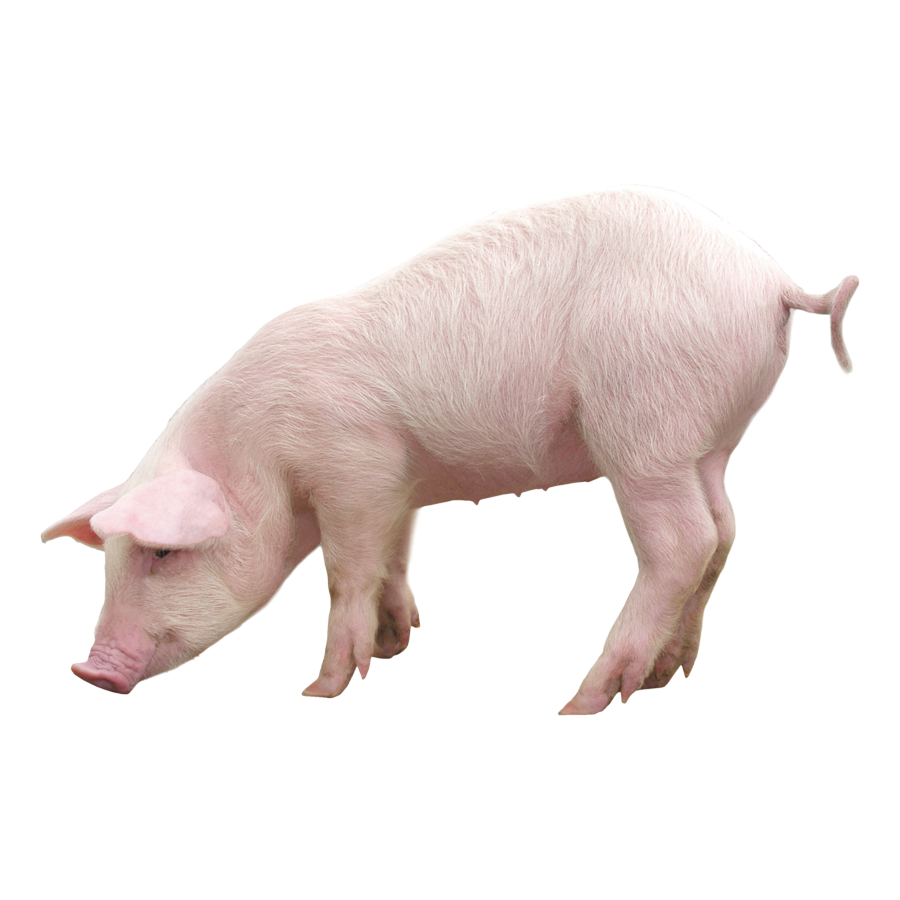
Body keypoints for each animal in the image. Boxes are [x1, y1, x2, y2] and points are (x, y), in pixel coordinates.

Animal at [41, 186, 858, 715]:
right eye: (111, 560)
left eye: (162, 553)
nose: (88, 669)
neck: (263, 455)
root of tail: (772, 277)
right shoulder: (396, 483)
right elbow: (391, 562)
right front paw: (396, 643)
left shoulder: (353, 468)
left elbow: (346, 574)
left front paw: (320, 689)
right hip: (708, 441)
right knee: (724, 532)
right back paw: (666, 676)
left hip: (643, 424)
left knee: (682, 543)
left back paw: (585, 699)